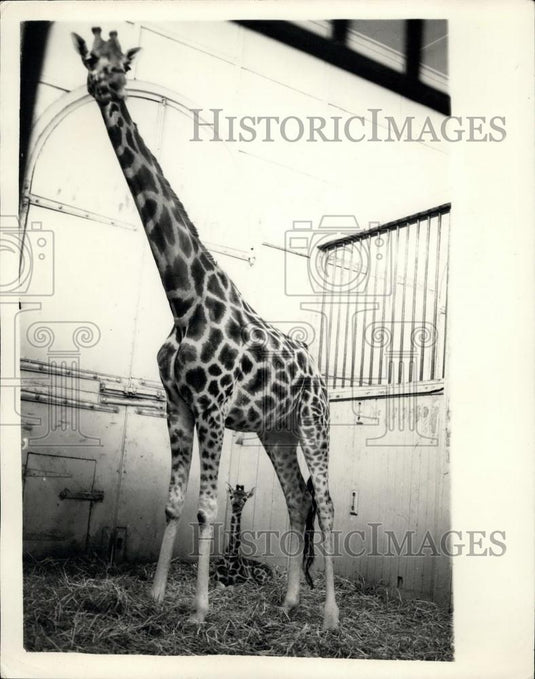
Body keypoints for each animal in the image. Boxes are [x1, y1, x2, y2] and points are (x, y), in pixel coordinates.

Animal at [71, 27, 339, 629]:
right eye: (89, 58)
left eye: (124, 65)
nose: (103, 86)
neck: (184, 300)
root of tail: (321, 377)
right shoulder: (178, 404)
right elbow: (175, 502)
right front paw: (155, 598)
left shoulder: (213, 408)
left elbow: (207, 507)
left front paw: (197, 611)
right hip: (276, 430)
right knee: (299, 500)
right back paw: (290, 602)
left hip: (314, 425)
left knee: (329, 505)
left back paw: (331, 619)